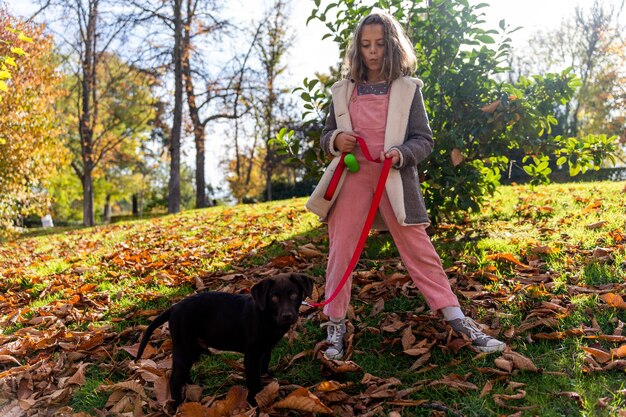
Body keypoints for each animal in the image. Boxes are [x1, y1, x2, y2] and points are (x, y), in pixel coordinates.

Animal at [135, 272, 312, 406]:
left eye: (294, 294)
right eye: (274, 298)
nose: (287, 315)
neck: (267, 316)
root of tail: (173, 308)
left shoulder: (265, 349)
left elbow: (264, 366)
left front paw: (267, 382)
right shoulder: (251, 354)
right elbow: (253, 380)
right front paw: (254, 401)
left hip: (194, 347)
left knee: (183, 371)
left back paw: (192, 388)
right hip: (184, 346)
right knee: (175, 378)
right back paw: (177, 403)